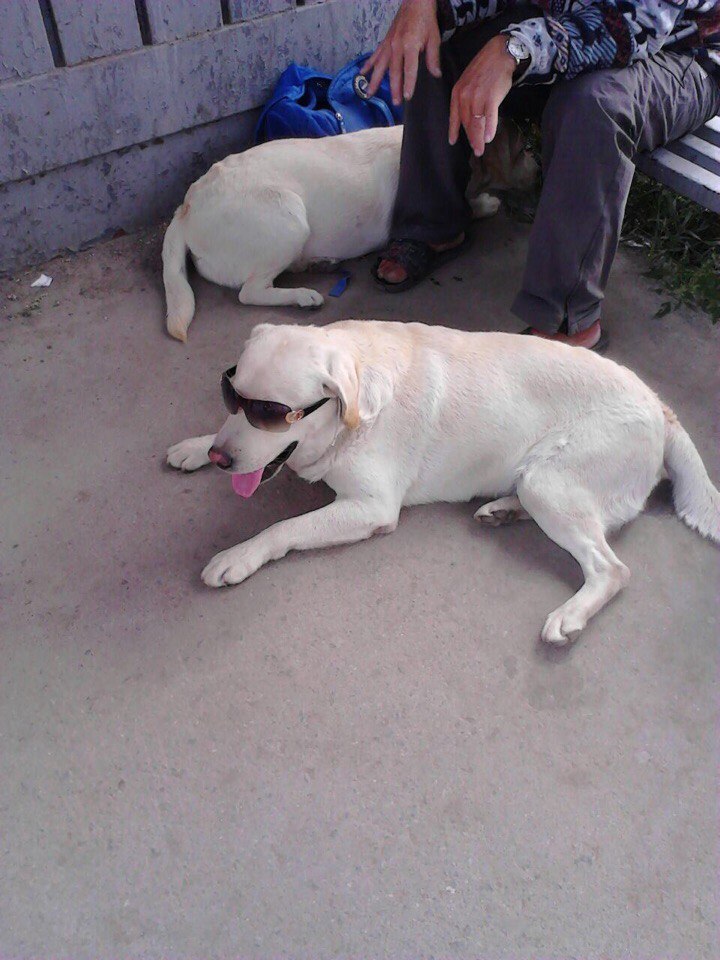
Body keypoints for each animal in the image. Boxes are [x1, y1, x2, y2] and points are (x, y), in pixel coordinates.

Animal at [162, 123, 536, 342]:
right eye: (523, 149)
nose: (540, 173)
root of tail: (186, 207)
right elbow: (467, 210)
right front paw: (485, 204)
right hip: (289, 216)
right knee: (250, 292)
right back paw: (303, 295)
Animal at [167, 320, 720, 644]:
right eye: (234, 396)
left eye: (271, 412)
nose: (220, 459)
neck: (353, 409)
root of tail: (660, 405)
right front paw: (195, 444)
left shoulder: (371, 507)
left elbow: (282, 528)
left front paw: (237, 556)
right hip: (544, 483)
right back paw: (503, 508)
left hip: (552, 482)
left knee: (612, 569)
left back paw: (570, 614)